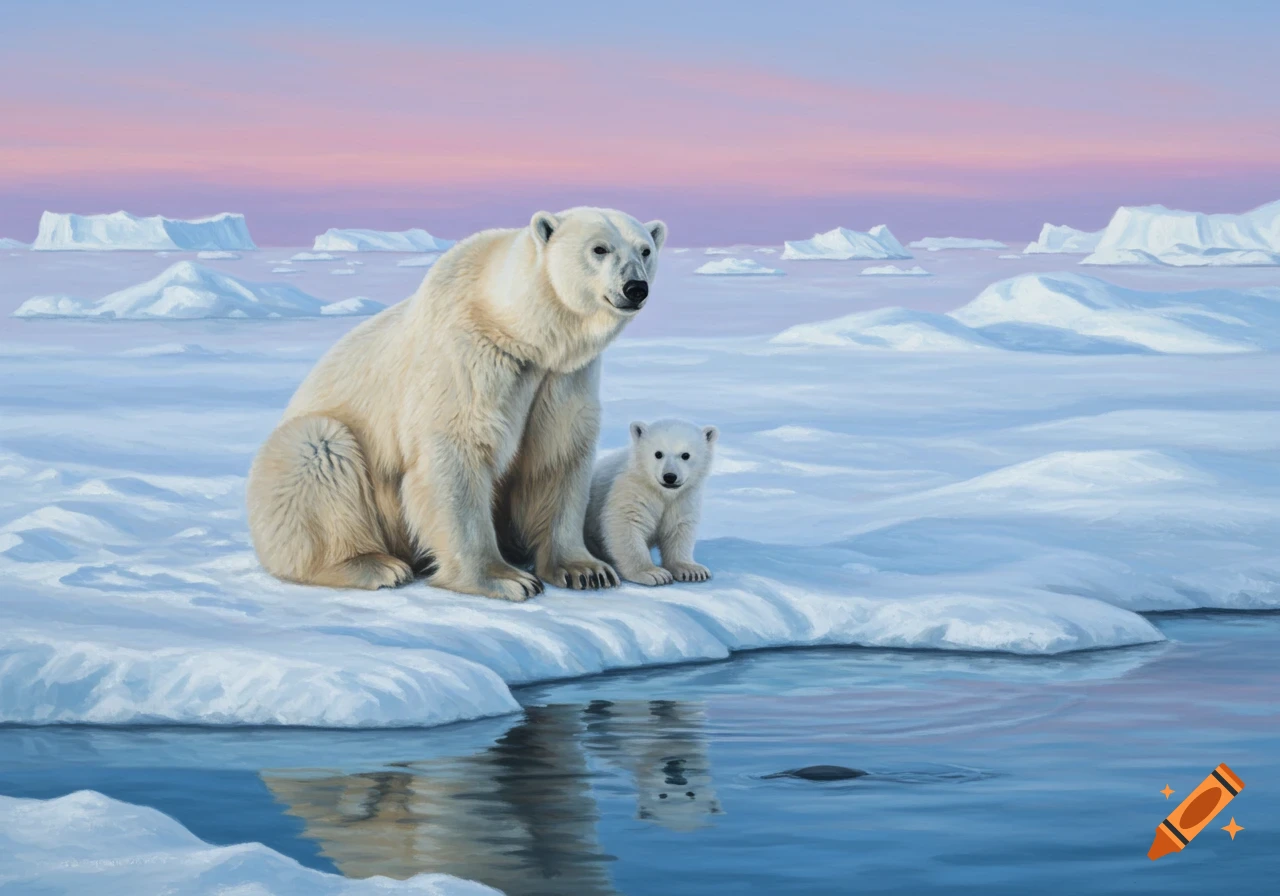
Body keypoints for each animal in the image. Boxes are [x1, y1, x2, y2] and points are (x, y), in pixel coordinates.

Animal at [246, 207, 667, 601]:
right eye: (600, 249)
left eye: (645, 250)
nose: (636, 288)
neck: (516, 327)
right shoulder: (468, 355)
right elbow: (457, 454)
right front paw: (507, 579)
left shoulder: (561, 376)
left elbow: (557, 455)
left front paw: (586, 570)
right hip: (317, 464)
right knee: (318, 449)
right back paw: (374, 565)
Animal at [584, 419, 716, 586]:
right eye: (658, 453)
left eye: (685, 455)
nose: (670, 476)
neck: (662, 493)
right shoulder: (633, 490)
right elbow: (627, 524)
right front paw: (653, 573)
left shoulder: (683, 498)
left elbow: (680, 528)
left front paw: (692, 570)